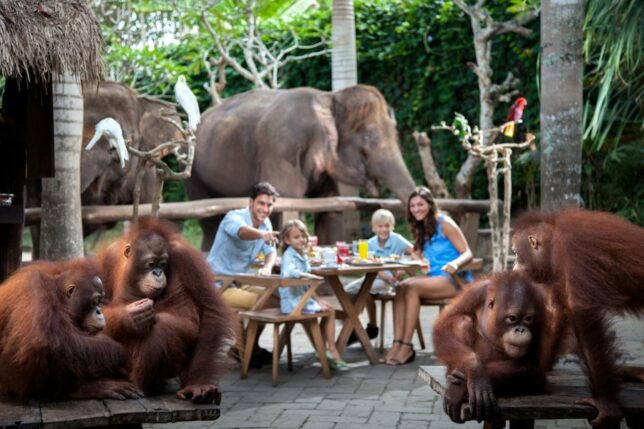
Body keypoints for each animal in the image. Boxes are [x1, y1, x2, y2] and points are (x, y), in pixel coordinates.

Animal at [185, 84, 418, 249]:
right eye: (369, 137)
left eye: (395, 133)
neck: (328, 97)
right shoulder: (281, 147)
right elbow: (286, 203)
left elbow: (328, 208)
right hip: (194, 172)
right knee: (210, 221)